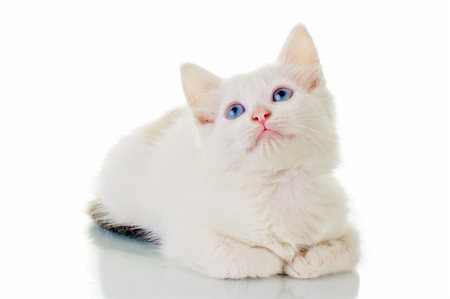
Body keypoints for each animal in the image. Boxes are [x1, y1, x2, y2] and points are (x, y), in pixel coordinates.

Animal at [89, 24, 360, 280]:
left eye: (282, 94)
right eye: (235, 111)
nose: (260, 115)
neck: (279, 186)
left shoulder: (341, 216)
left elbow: (352, 247)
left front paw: (309, 261)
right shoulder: (184, 233)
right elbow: (235, 257)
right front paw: (278, 259)